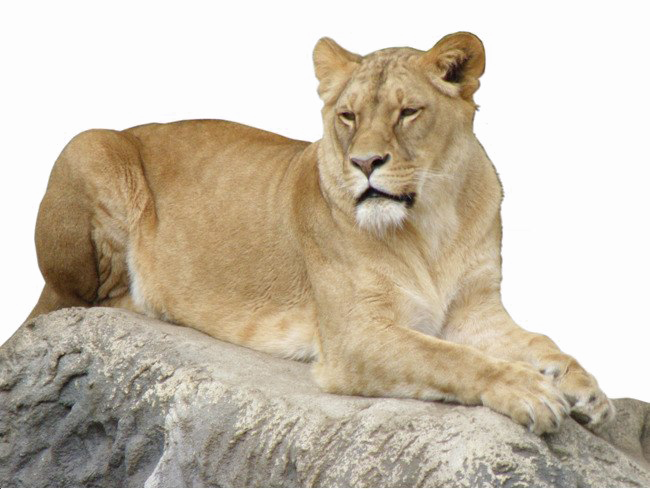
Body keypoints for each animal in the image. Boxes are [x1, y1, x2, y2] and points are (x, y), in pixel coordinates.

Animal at [28, 32, 614, 435]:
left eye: (408, 112)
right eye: (348, 116)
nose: (365, 163)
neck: (432, 220)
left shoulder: (476, 311)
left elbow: (539, 341)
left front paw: (587, 390)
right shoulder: (354, 336)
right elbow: (450, 358)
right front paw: (528, 391)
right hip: (88, 145)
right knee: (83, 300)